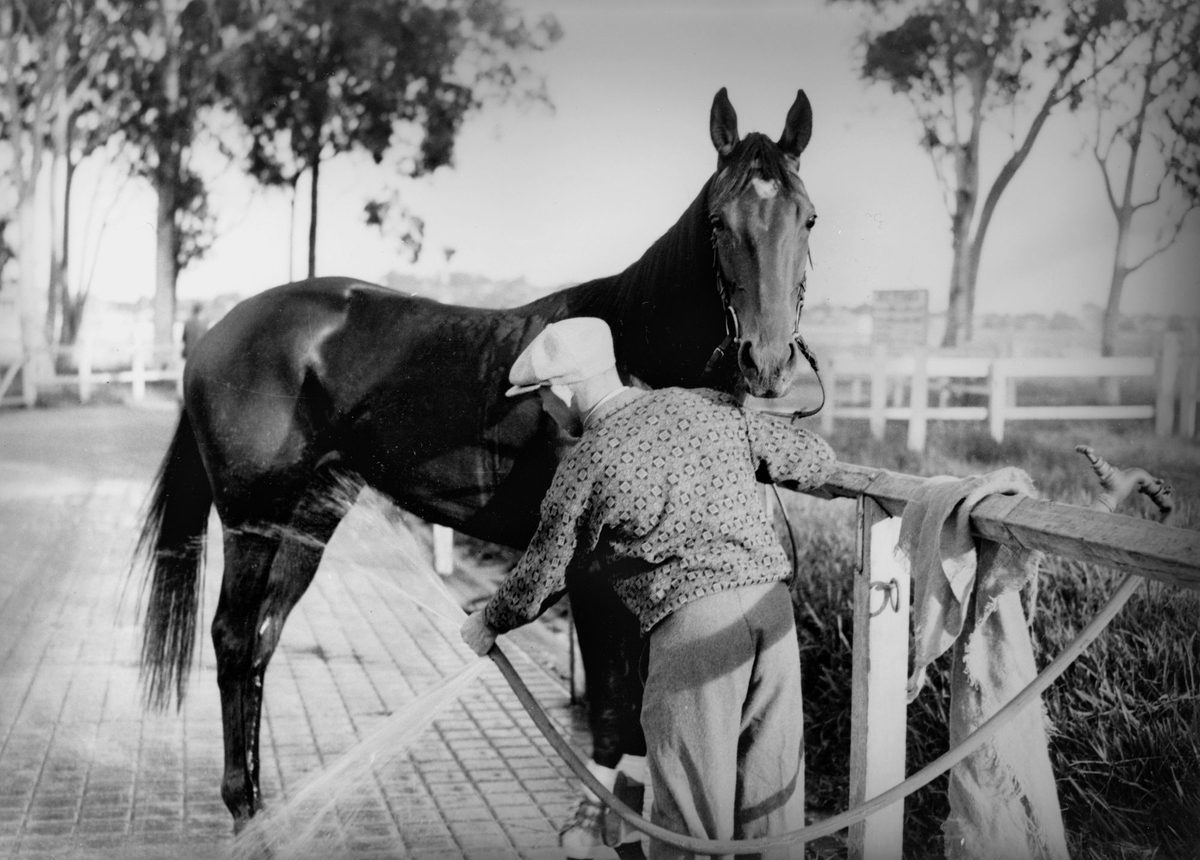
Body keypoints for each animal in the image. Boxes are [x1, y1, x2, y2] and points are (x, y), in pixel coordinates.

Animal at [134, 86, 820, 834]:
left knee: (262, 637)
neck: (631, 359)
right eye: (719, 222)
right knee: (232, 639)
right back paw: (243, 807)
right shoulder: (590, 576)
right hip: (252, 518)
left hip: (307, 518)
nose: (768, 361)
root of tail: (218, 330)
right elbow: (614, 719)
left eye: (808, 219)